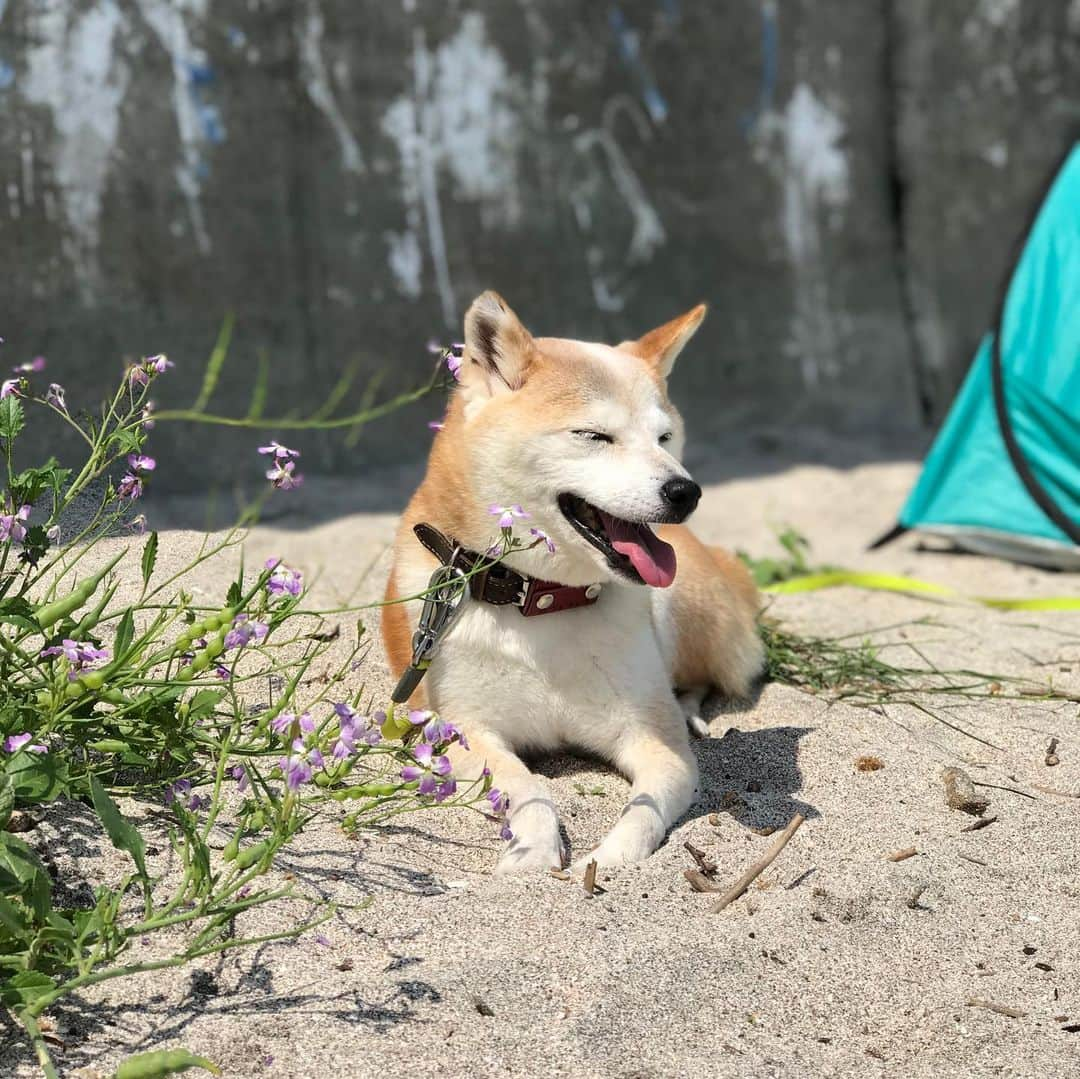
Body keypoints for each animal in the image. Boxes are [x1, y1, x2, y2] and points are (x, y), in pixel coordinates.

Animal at [384, 291, 764, 872]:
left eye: (664, 437)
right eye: (593, 436)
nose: (686, 491)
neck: (542, 600)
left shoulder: (650, 738)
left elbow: (650, 801)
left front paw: (612, 857)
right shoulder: (462, 730)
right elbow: (527, 786)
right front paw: (533, 850)